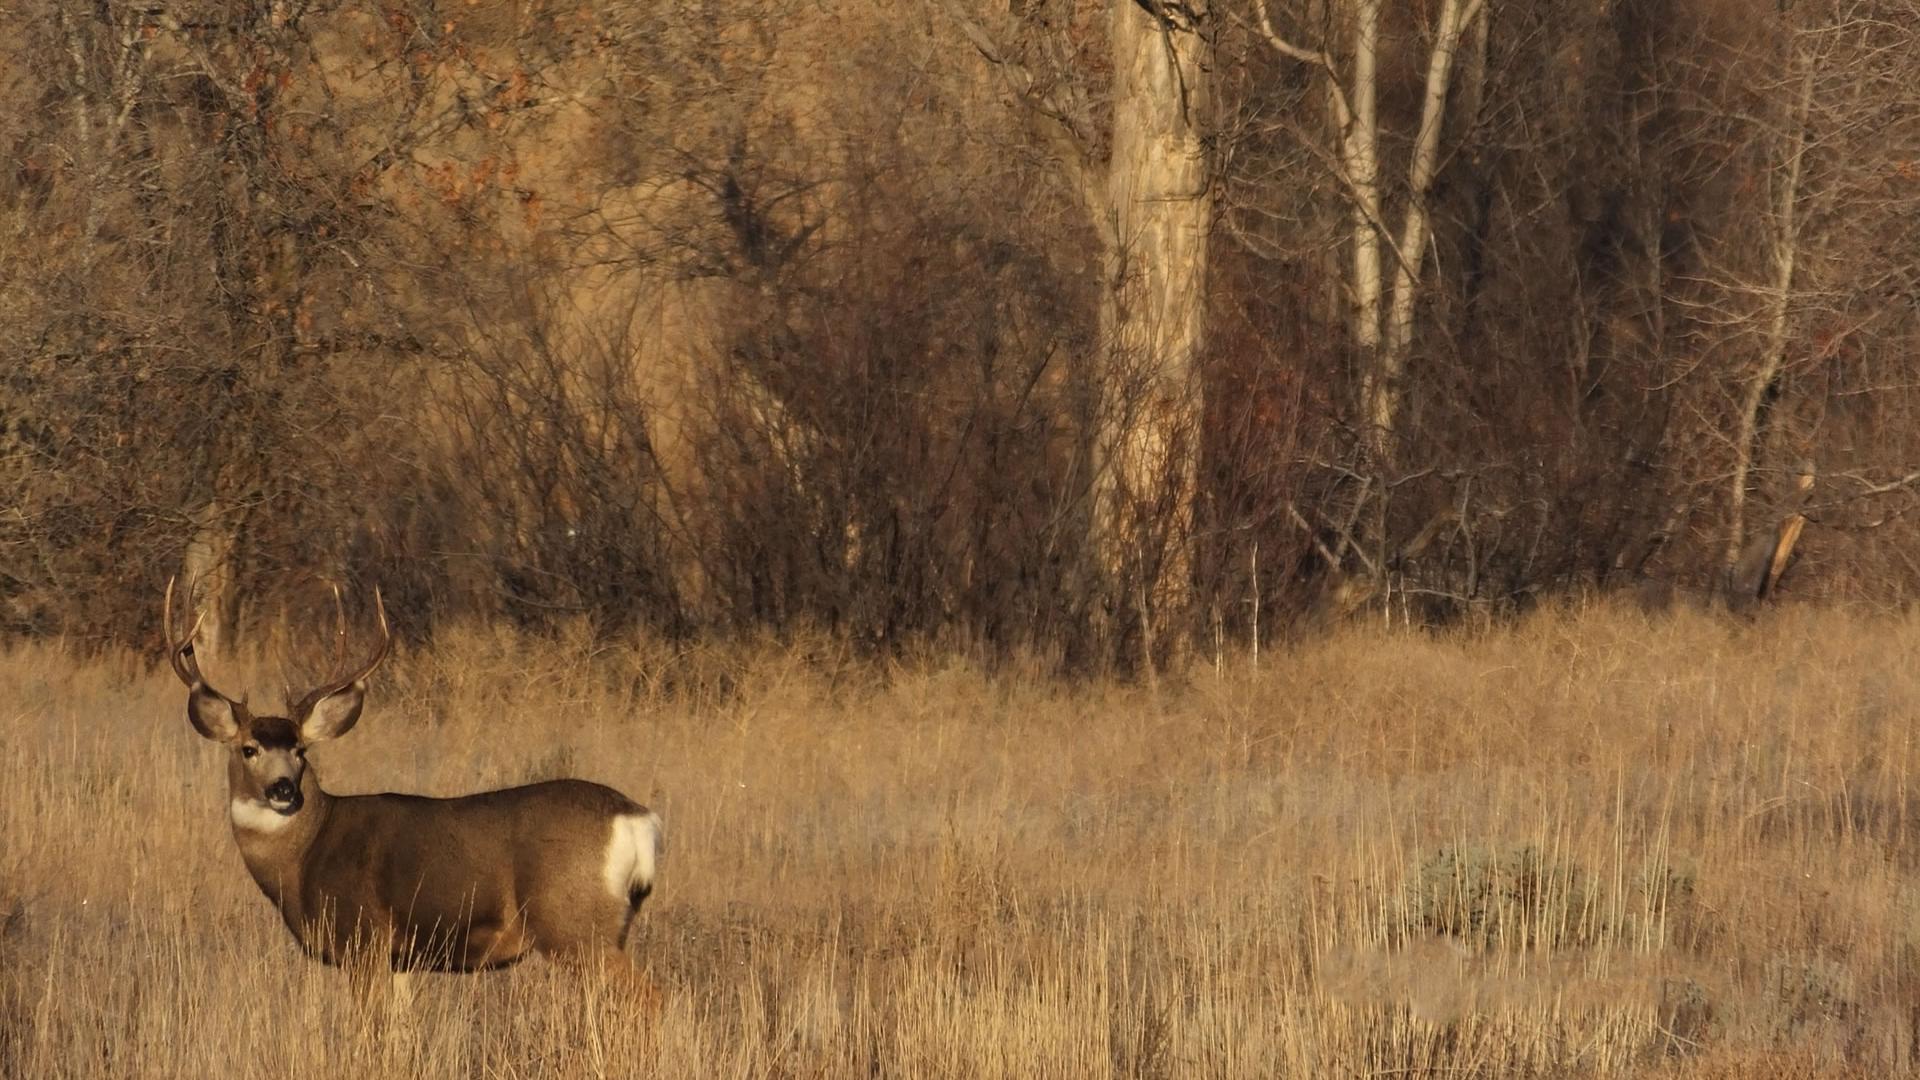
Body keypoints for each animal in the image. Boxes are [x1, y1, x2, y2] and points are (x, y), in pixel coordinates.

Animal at [163, 578, 663, 991]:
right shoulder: (399, 961)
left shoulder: (362, 940)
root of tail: (637, 819)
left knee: (648, 996)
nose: (284, 789)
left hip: (575, 924)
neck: (305, 856)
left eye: (301, 750)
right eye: (249, 748)